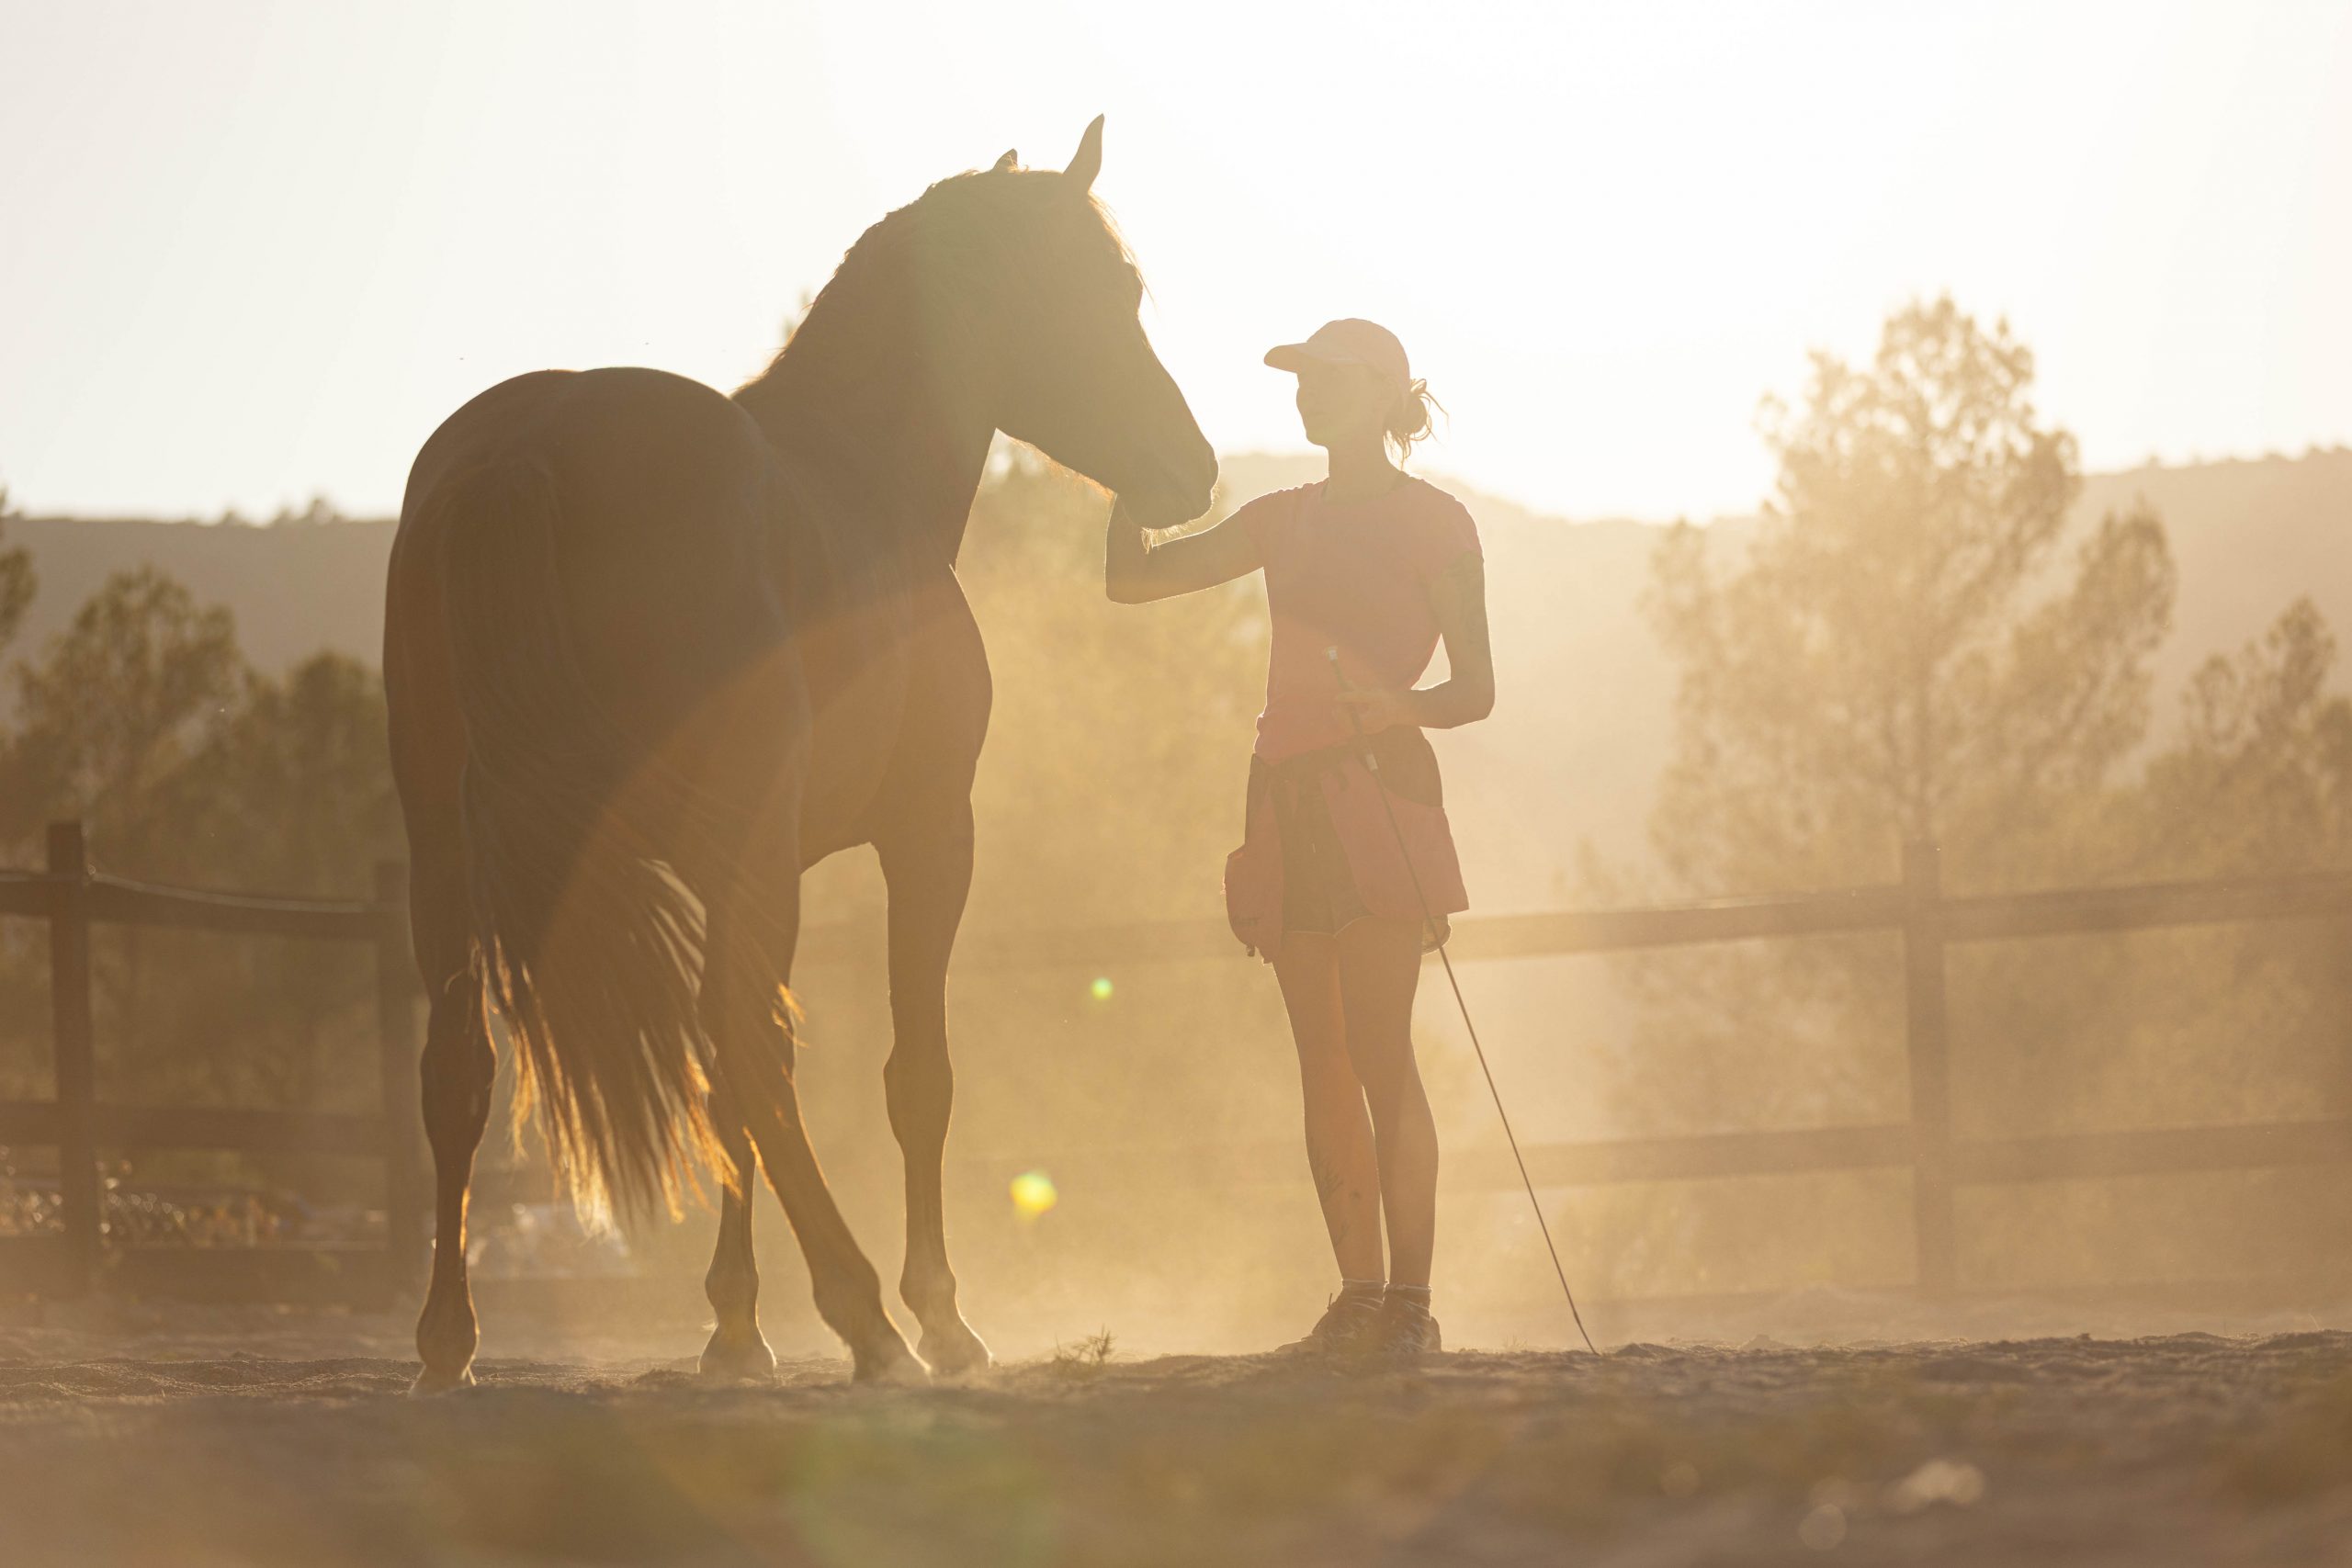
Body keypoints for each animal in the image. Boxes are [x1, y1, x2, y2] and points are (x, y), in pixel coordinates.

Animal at [383, 119, 1216, 1390]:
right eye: (1101, 289)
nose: (1194, 467)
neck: (863, 481)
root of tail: (522, 455)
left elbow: (731, 1088)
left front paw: (735, 1327)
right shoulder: (925, 838)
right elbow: (912, 1078)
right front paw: (937, 1313)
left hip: (443, 849)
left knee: (461, 1071)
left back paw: (448, 1339)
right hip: (741, 847)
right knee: (751, 1056)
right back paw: (868, 1317)